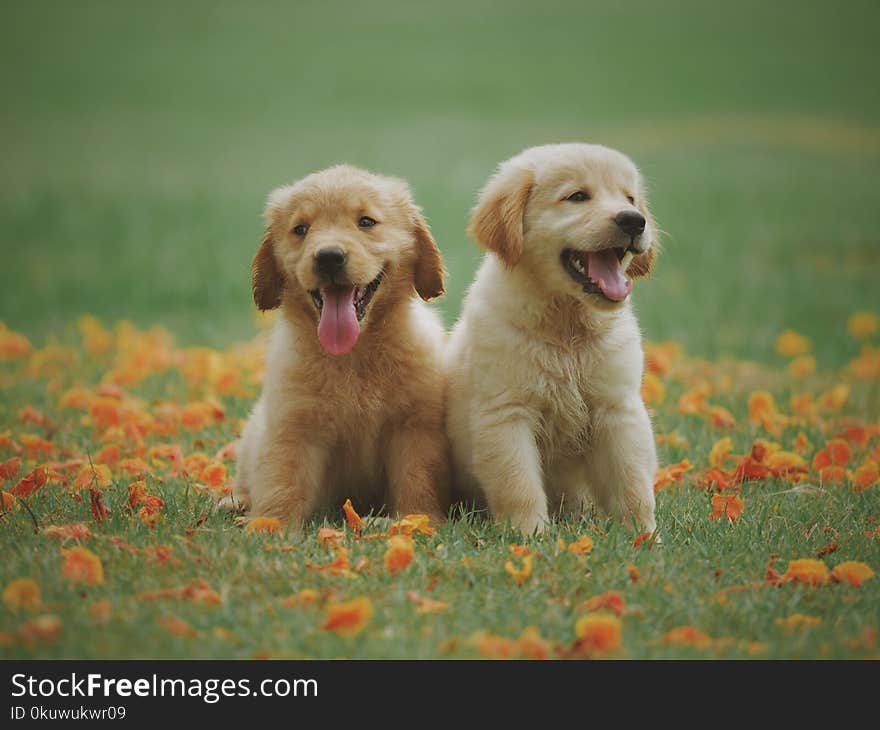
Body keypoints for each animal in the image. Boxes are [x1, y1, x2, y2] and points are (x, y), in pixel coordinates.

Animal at [232, 164, 446, 524]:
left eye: (366, 222)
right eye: (301, 229)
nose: (329, 257)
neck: (352, 355)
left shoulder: (414, 427)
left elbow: (417, 479)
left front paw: (417, 520)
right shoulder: (293, 426)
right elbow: (282, 481)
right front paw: (270, 525)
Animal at [446, 142, 660, 532]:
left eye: (630, 198)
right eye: (577, 197)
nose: (634, 220)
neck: (566, 328)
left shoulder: (618, 409)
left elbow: (633, 482)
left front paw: (643, 535)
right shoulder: (507, 414)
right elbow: (518, 484)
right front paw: (529, 534)